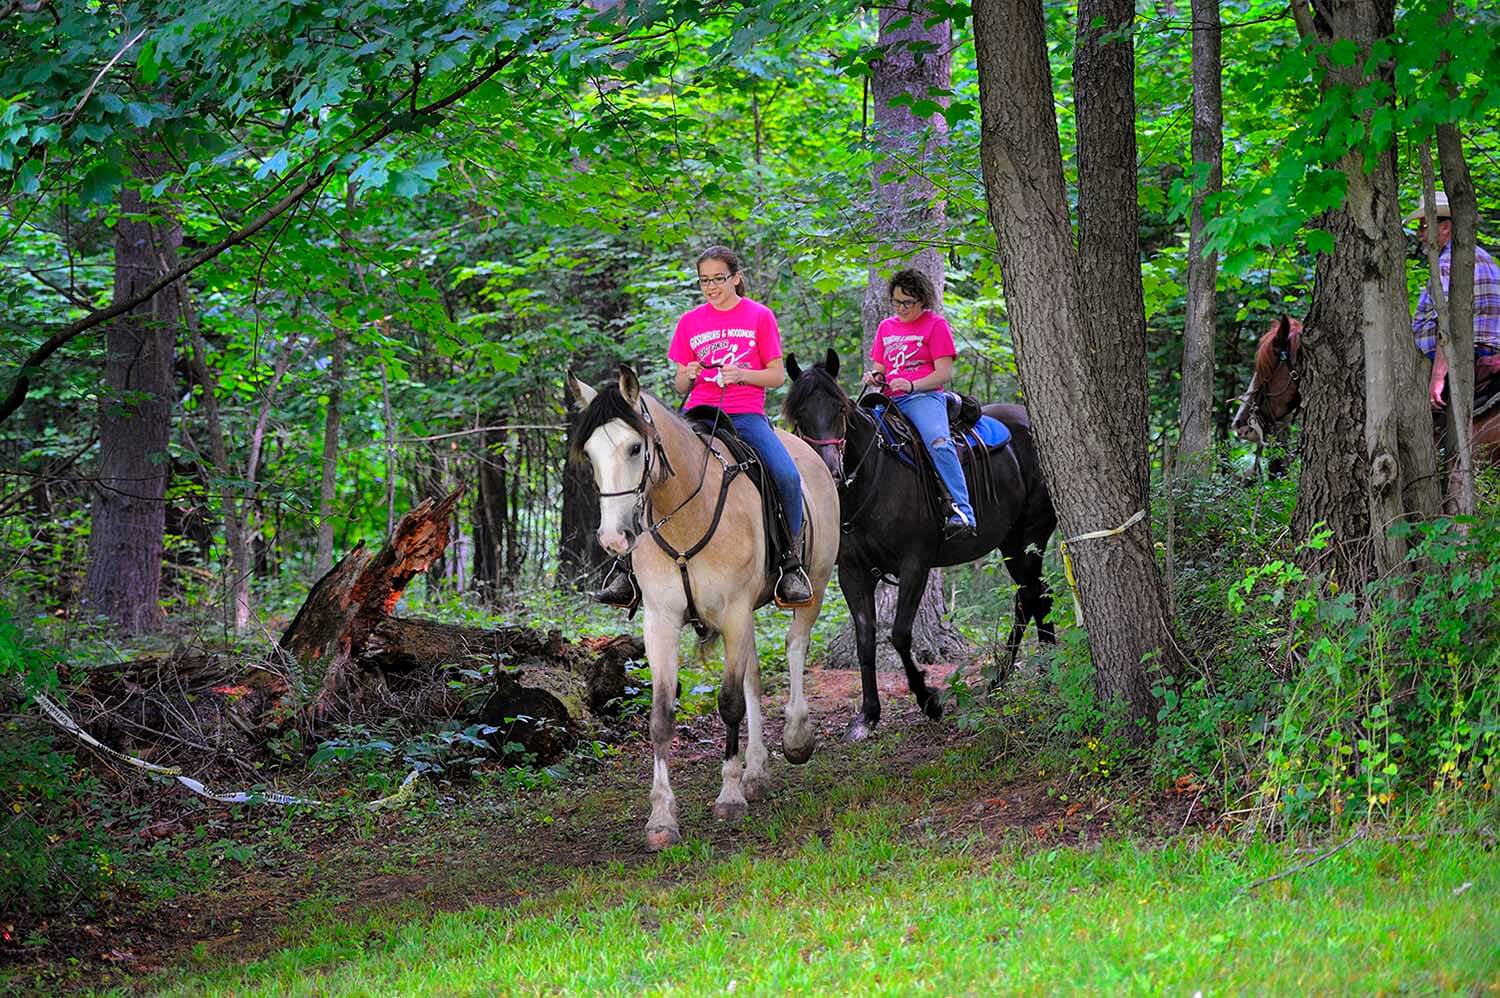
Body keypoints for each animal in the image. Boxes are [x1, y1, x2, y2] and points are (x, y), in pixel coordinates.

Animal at [786, 349, 1056, 738]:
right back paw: (1004, 677)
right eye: (800, 415)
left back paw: (1045, 673)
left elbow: (900, 635)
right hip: (1012, 543)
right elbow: (866, 639)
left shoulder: (915, 564)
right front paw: (867, 716)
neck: (871, 477)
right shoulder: (852, 571)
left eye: (839, 410)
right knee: (1028, 597)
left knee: (1036, 596)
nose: (831, 473)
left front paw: (929, 700)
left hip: (1030, 537)